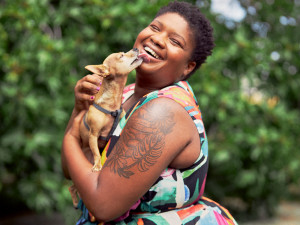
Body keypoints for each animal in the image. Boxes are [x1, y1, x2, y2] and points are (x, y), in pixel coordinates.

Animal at [67, 48, 148, 207]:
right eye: (121, 56)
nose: (135, 49)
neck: (112, 105)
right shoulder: (93, 135)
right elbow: (97, 153)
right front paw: (98, 165)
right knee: (71, 187)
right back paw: (75, 201)